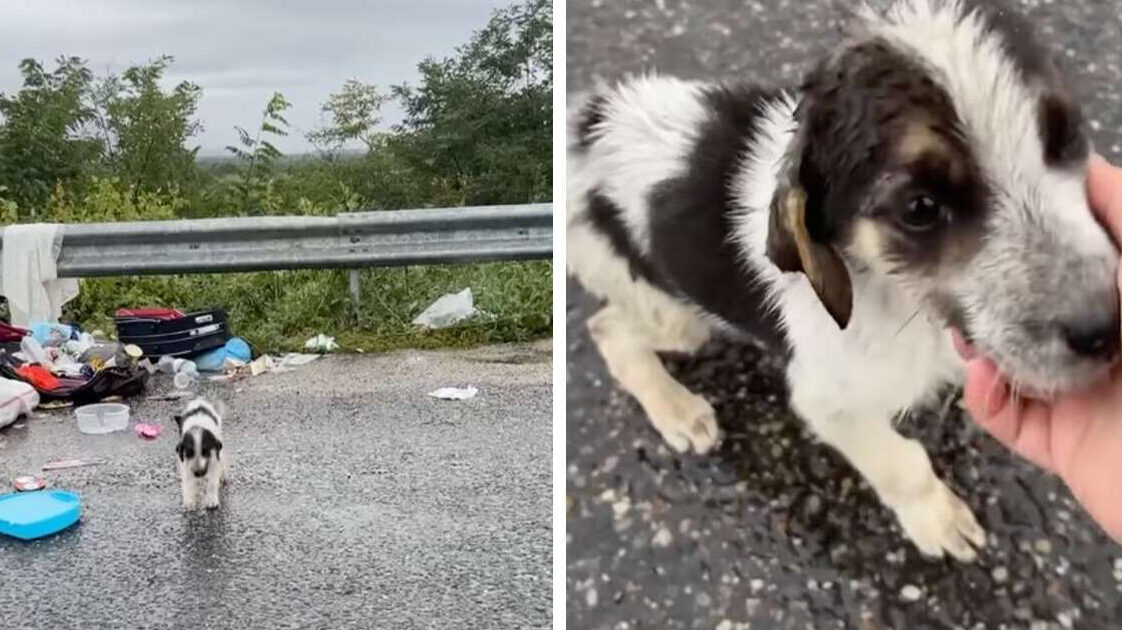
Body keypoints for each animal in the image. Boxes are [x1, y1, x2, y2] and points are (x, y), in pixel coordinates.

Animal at [569, 0, 1122, 559]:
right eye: (920, 208)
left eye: (1065, 137)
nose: (1108, 328)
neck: (898, 296)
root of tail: (586, 126)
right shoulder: (827, 399)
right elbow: (901, 463)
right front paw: (937, 518)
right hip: (671, 312)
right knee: (608, 329)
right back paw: (678, 410)